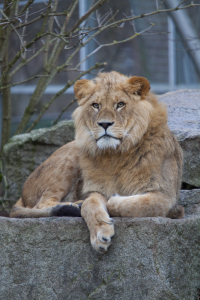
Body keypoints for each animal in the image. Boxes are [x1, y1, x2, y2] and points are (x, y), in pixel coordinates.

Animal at [10, 71, 184, 252]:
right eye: (95, 105)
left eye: (120, 104)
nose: (105, 124)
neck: (116, 155)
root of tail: (22, 192)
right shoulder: (96, 189)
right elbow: (91, 204)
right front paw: (100, 233)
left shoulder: (168, 199)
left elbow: (131, 204)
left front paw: (114, 200)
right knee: (40, 205)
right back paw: (75, 205)